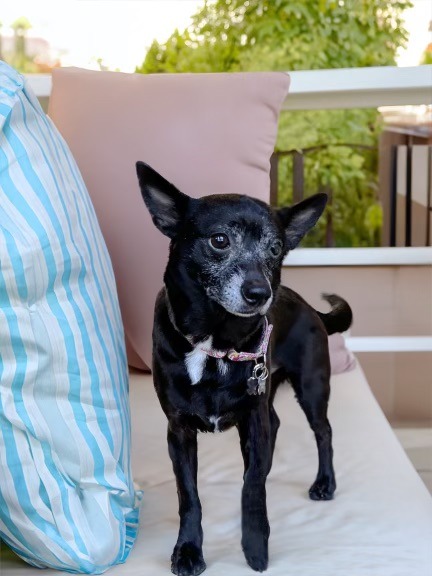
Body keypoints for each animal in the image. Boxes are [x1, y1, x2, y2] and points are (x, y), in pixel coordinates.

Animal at [137, 161, 352, 576]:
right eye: (219, 240)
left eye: (276, 248)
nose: (260, 294)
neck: (216, 342)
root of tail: (309, 308)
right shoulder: (179, 432)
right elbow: (189, 496)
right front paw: (188, 550)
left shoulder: (253, 421)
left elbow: (252, 487)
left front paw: (255, 546)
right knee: (280, 425)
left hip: (312, 387)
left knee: (324, 432)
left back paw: (324, 483)